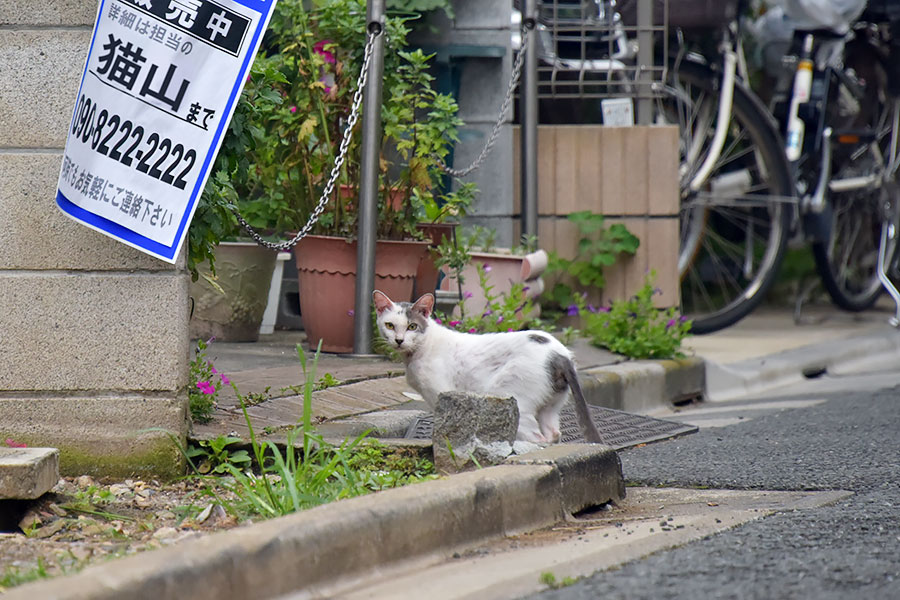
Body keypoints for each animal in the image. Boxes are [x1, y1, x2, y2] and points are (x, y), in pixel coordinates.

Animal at [372, 288, 604, 442]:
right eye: (390, 325)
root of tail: (560, 354)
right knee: (553, 435)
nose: (399, 340)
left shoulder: (440, 393)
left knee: (537, 437)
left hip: (512, 397)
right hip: (551, 406)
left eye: (412, 326)